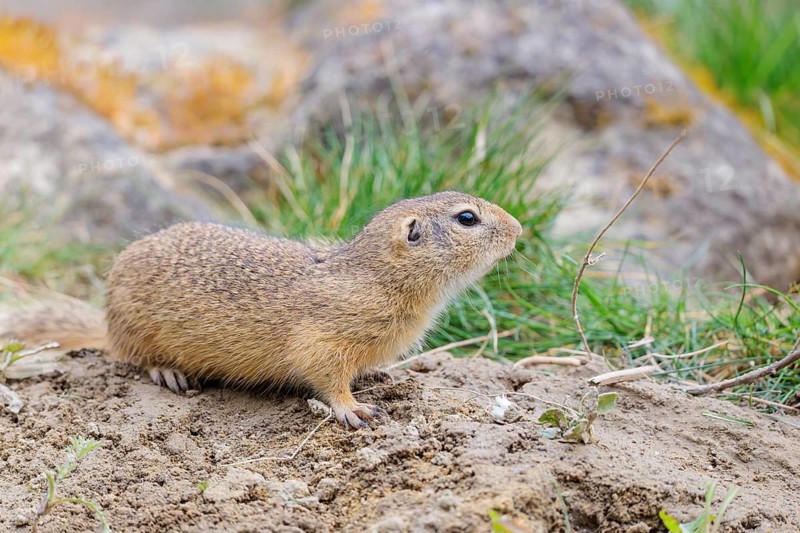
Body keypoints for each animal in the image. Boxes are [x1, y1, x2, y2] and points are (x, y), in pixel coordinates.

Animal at [1, 192, 521, 428]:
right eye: (467, 218)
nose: (519, 229)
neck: (374, 276)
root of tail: (105, 323)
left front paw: (377, 375)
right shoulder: (323, 340)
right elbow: (328, 377)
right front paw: (354, 410)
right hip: (136, 332)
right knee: (135, 358)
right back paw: (168, 373)